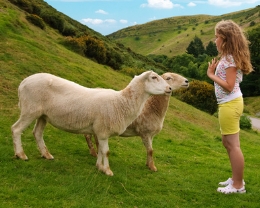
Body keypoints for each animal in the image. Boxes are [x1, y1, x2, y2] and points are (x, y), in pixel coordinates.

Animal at [11, 71, 173, 176]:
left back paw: (46, 154)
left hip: (43, 115)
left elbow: (101, 150)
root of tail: (23, 82)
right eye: (154, 77)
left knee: (37, 133)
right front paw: (107, 170)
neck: (121, 102)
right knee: (16, 129)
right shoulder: (103, 130)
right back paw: (21, 154)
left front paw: (99, 166)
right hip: (29, 109)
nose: (170, 88)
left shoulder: (100, 131)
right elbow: (106, 151)